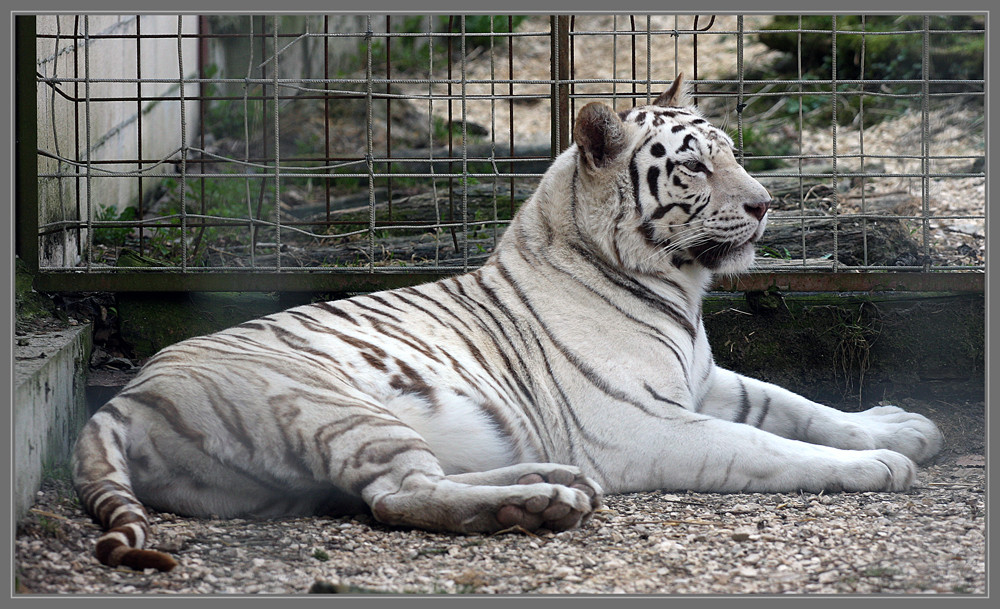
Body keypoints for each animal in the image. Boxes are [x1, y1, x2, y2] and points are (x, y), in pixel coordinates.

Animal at [74, 76, 940, 568]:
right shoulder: (647, 424)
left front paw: (900, 426)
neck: (678, 291)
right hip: (334, 405)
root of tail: (123, 398)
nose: (765, 205)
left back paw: (552, 482)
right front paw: (877, 465)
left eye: (733, 151)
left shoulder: (706, 380)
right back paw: (539, 503)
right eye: (696, 164)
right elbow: (766, 447)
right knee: (397, 494)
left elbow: (797, 404)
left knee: (398, 486)